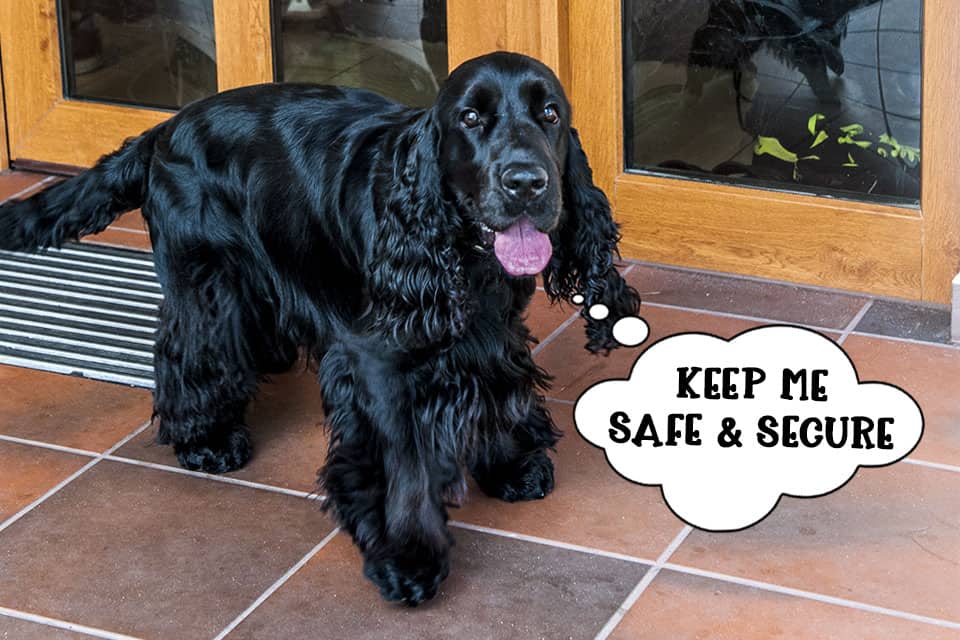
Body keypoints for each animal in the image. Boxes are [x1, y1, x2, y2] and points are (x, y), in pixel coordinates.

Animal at [3, 51, 640, 604]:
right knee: (189, 354)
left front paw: (510, 465)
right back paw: (206, 438)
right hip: (208, 284)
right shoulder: (376, 362)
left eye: (549, 114)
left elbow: (500, 393)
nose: (526, 183)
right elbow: (402, 462)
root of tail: (163, 128)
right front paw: (406, 557)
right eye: (470, 118)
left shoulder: (493, 333)